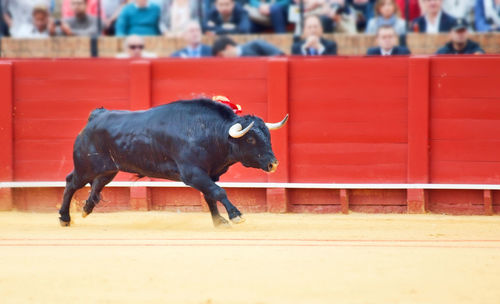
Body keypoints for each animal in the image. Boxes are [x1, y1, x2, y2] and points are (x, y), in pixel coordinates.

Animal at [57, 98, 290, 227]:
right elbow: (218, 192)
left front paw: (219, 221)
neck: (209, 131)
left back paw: (86, 209)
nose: (274, 164)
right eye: (250, 139)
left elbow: (210, 196)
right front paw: (235, 216)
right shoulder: (193, 174)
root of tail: (96, 116)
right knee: (71, 183)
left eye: (268, 135)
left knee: (96, 185)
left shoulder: (208, 174)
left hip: (108, 170)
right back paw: (64, 218)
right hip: (85, 167)